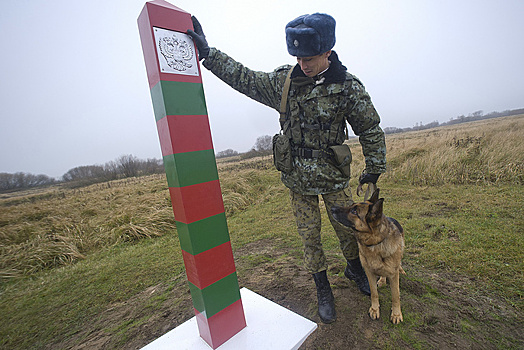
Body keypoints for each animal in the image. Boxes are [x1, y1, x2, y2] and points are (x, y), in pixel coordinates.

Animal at [332, 190, 406, 324]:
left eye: (354, 211)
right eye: (351, 206)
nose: (332, 208)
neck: (375, 243)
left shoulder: (393, 275)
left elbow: (395, 296)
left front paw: (396, 314)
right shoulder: (369, 272)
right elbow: (373, 292)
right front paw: (375, 309)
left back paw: (400, 270)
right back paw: (382, 280)